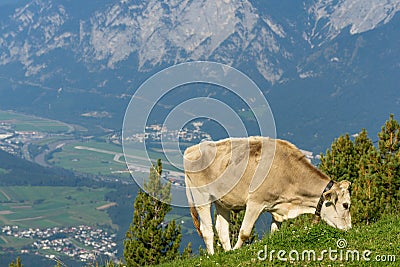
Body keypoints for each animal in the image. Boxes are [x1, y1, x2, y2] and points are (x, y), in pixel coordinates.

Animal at [183, 137, 352, 254]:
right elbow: (244, 232)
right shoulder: (255, 202)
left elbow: (274, 232)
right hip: (201, 196)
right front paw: (237, 252)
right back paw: (213, 256)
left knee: (222, 229)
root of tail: (191, 149)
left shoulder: (277, 208)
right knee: (207, 230)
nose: (349, 229)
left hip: (221, 201)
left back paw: (227, 252)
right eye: (345, 205)